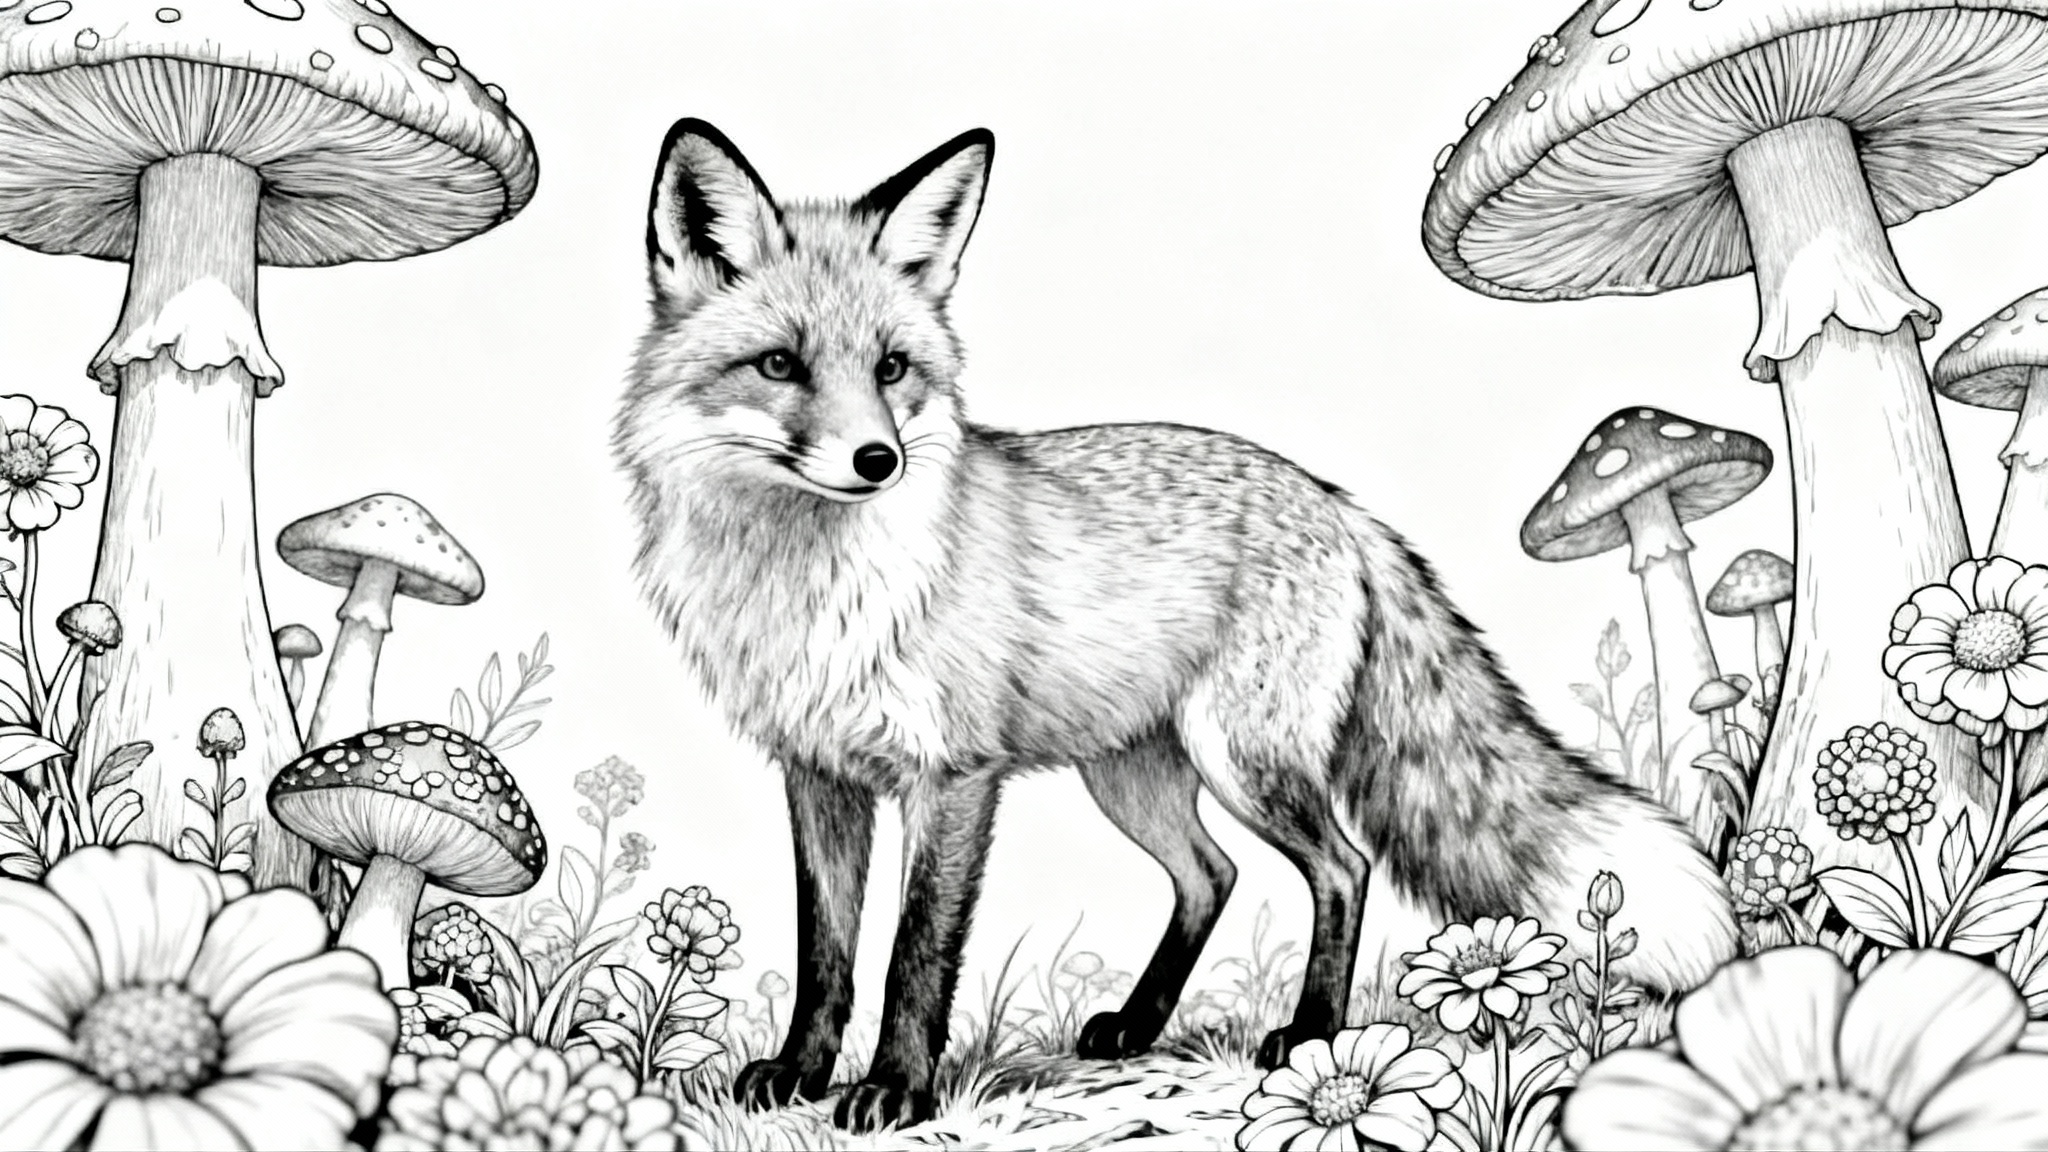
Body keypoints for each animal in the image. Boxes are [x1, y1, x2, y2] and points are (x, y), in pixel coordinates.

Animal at [614, 119, 1738, 1133]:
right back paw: (1138, 1024)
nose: (876, 460)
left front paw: (895, 1090)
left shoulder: (953, 776)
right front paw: (799, 1072)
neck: (810, 590)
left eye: (892, 369)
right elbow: (826, 953)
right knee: (1212, 874)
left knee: (1342, 865)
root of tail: (1338, 504)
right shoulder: (820, 774)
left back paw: (1311, 1034)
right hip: (1133, 774)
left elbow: (915, 954)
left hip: (1242, 757)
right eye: (778, 366)